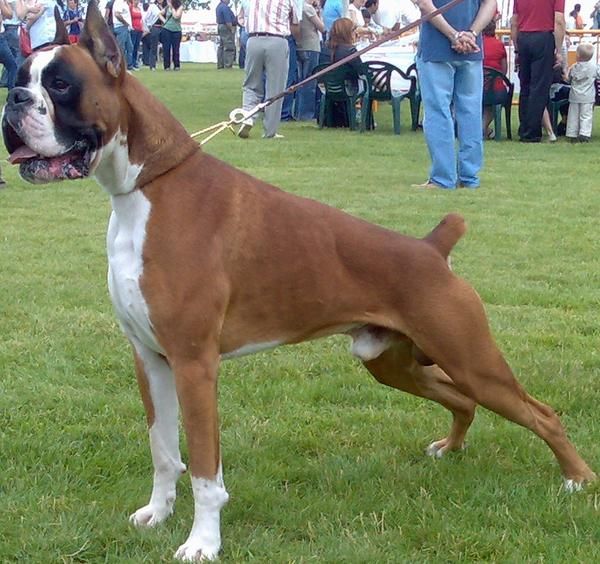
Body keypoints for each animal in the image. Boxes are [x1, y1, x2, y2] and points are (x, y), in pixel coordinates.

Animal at [3, 2, 596, 560]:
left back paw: (577, 480)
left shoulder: (195, 364)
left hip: (471, 358)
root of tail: (432, 247)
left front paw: (203, 542)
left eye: (60, 83)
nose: (15, 99)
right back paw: (450, 450)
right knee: (463, 402)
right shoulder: (149, 359)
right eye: (25, 76)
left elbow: (204, 468)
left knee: (542, 414)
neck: (145, 187)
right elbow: (163, 450)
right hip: (392, 363)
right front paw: (158, 513)